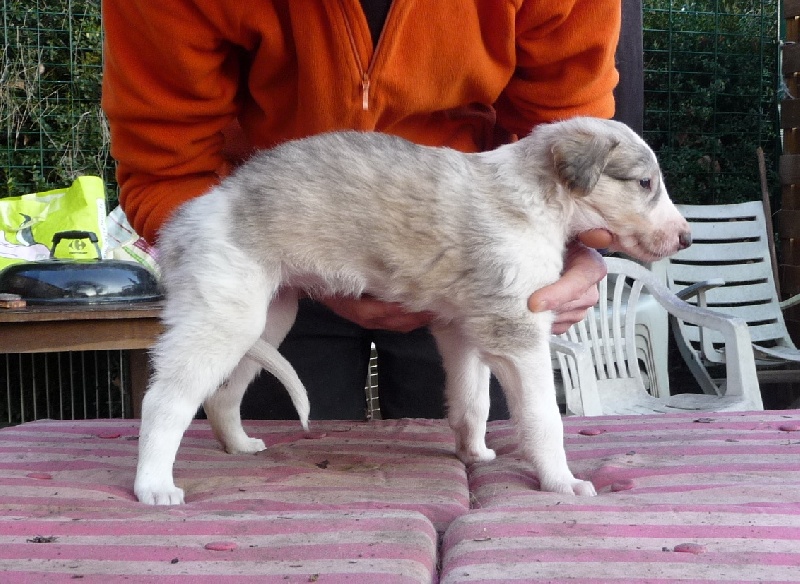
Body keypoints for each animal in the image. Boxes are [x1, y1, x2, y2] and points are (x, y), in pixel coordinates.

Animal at [134, 117, 691, 505]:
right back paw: (154, 485)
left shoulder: (462, 330)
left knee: (220, 397)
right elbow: (543, 418)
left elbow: (472, 404)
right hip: (226, 318)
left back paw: (239, 445)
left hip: (266, 319)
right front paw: (562, 482)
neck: (533, 200)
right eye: (644, 183)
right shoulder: (515, 333)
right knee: (164, 402)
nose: (685, 238)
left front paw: (474, 454)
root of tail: (188, 219)